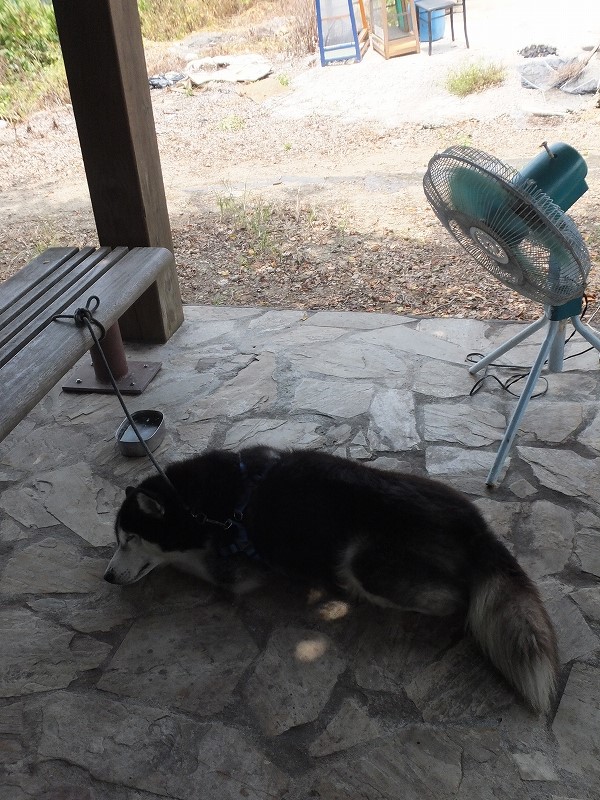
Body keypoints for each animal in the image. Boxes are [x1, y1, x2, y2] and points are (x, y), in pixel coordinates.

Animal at [105, 445, 559, 714]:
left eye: (130, 539)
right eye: (118, 539)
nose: (108, 577)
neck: (202, 504)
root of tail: (477, 526)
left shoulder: (232, 571)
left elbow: (193, 564)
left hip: (364, 561)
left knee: (455, 598)